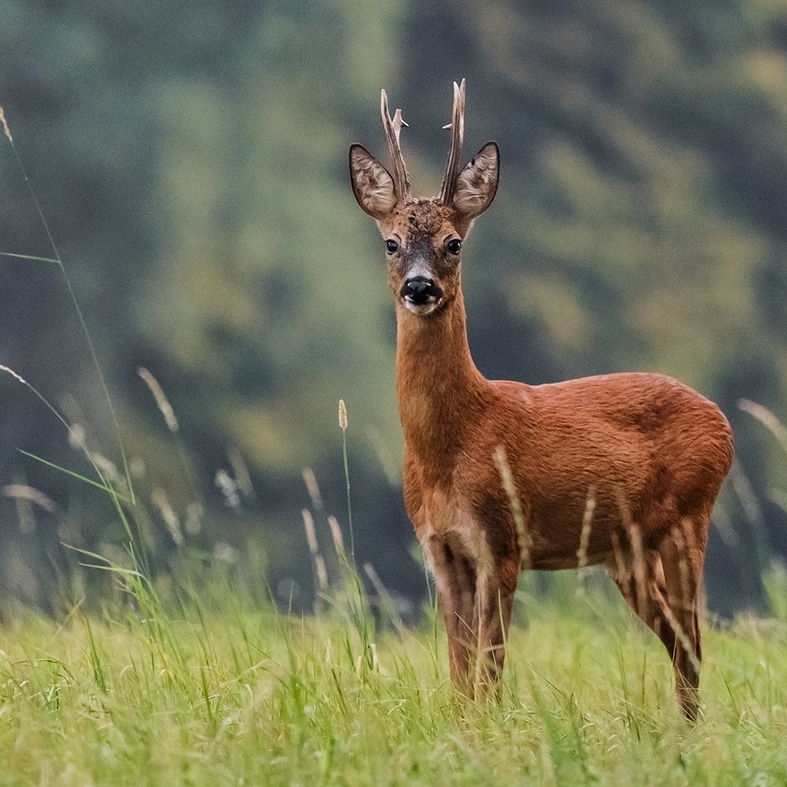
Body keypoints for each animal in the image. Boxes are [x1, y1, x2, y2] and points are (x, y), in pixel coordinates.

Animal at [350, 80, 732, 720]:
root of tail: (723, 421)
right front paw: (463, 732)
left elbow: (489, 671)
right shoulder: (441, 549)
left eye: (454, 243)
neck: (450, 448)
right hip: (626, 551)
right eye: (391, 243)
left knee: (694, 644)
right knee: (681, 642)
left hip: (689, 515)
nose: (420, 287)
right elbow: (459, 673)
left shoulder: (502, 539)